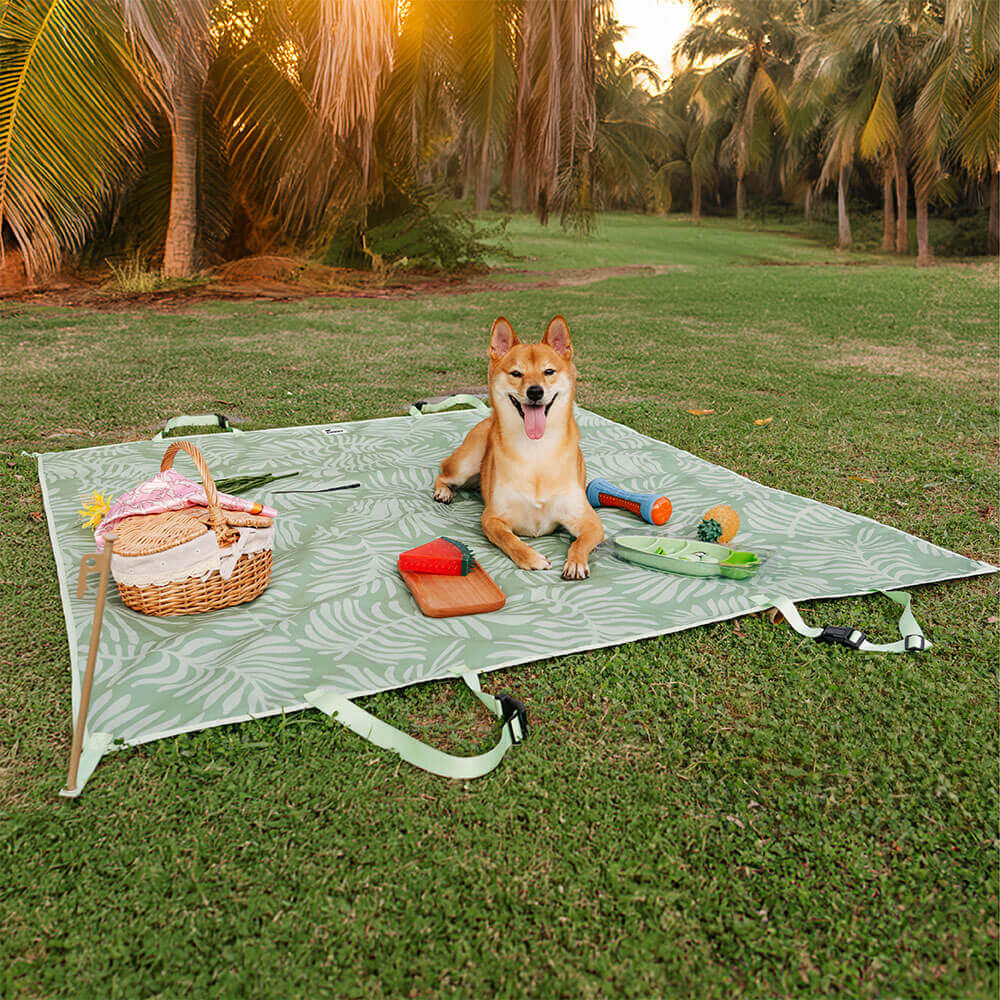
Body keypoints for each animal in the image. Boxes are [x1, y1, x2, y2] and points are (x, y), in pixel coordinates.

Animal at [430, 312, 600, 580]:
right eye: (516, 373)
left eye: (548, 371)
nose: (535, 391)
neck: (536, 452)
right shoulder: (492, 518)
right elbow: (509, 539)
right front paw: (530, 557)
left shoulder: (587, 519)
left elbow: (581, 541)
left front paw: (576, 562)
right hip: (465, 463)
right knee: (443, 471)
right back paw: (443, 491)